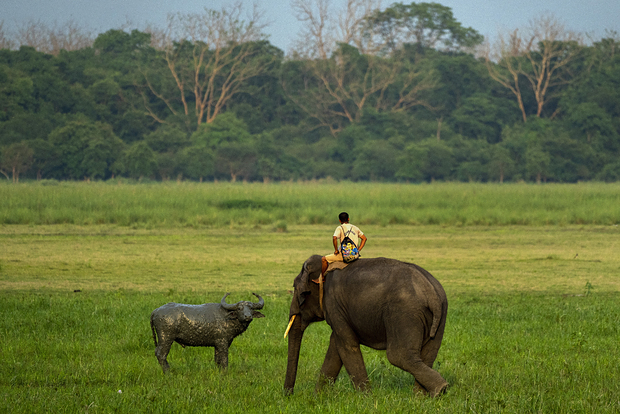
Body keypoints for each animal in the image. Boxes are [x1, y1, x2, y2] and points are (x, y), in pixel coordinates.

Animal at [284, 254, 448, 396]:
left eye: (296, 288)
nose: (289, 395)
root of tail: (431, 292)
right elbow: (335, 346)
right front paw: (318, 397)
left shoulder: (334, 304)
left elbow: (347, 345)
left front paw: (366, 398)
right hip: (439, 314)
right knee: (428, 354)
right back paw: (422, 397)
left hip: (403, 313)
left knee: (399, 356)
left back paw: (441, 389)